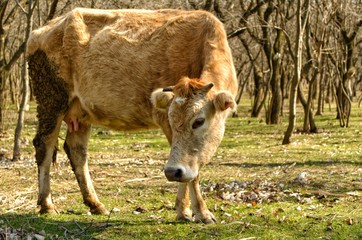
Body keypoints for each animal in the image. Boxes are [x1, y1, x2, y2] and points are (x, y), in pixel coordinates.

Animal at [27, 8, 238, 224]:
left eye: (199, 121)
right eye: (172, 120)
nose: (171, 171)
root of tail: (46, 28)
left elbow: (187, 167)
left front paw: (184, 210)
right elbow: (191, 171)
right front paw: (201, 212)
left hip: (80, 111)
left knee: (76, 150)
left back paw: (95, 204)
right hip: (51, 100)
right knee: (44, 145)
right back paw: (47, 204)